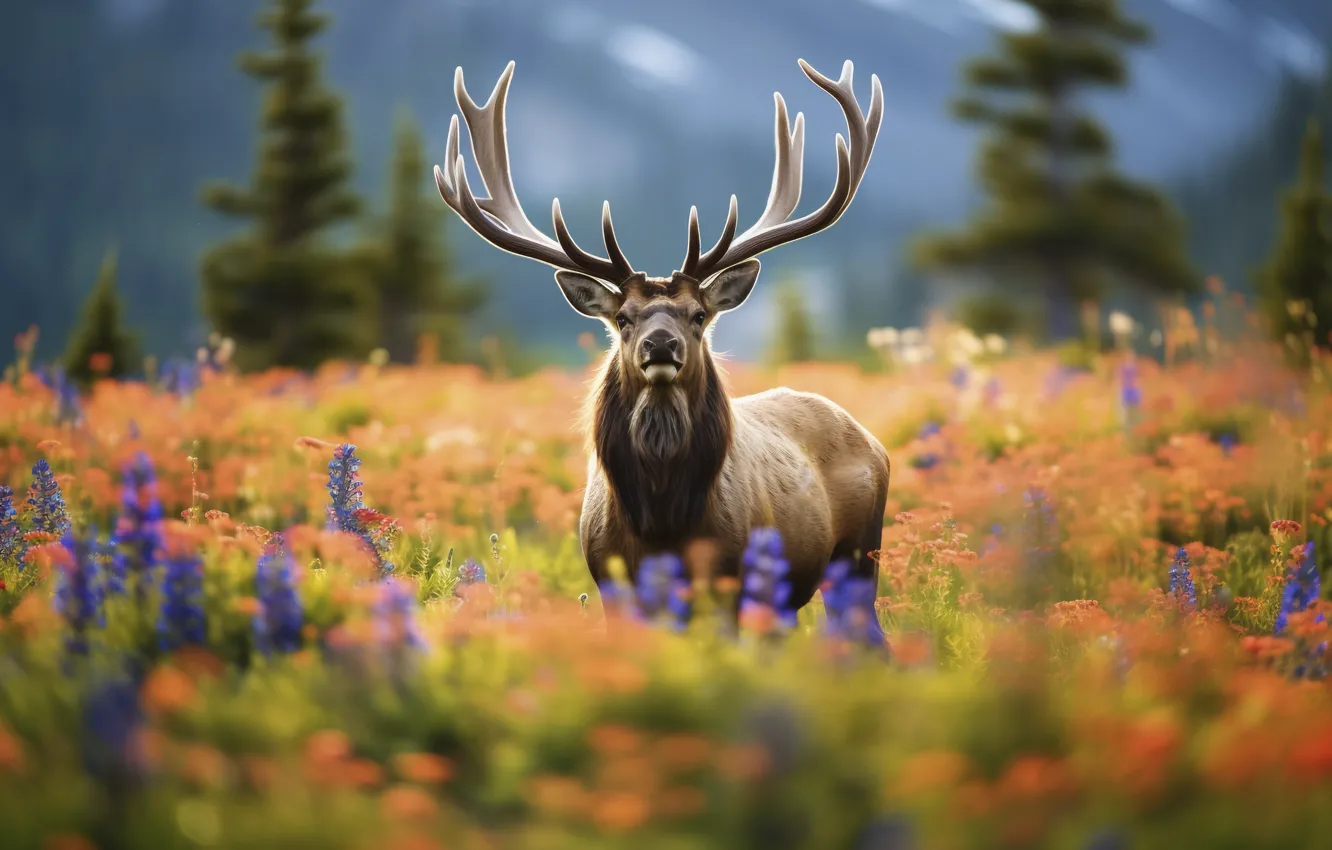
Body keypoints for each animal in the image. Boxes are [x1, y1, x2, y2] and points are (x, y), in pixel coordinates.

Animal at [434, 58, 889, 635]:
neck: (662, 526)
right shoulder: (610, 582)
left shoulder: (732, 582)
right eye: (623, 319)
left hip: (858, 558)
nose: (661, 344)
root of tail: (874, 443)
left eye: (698, 316)